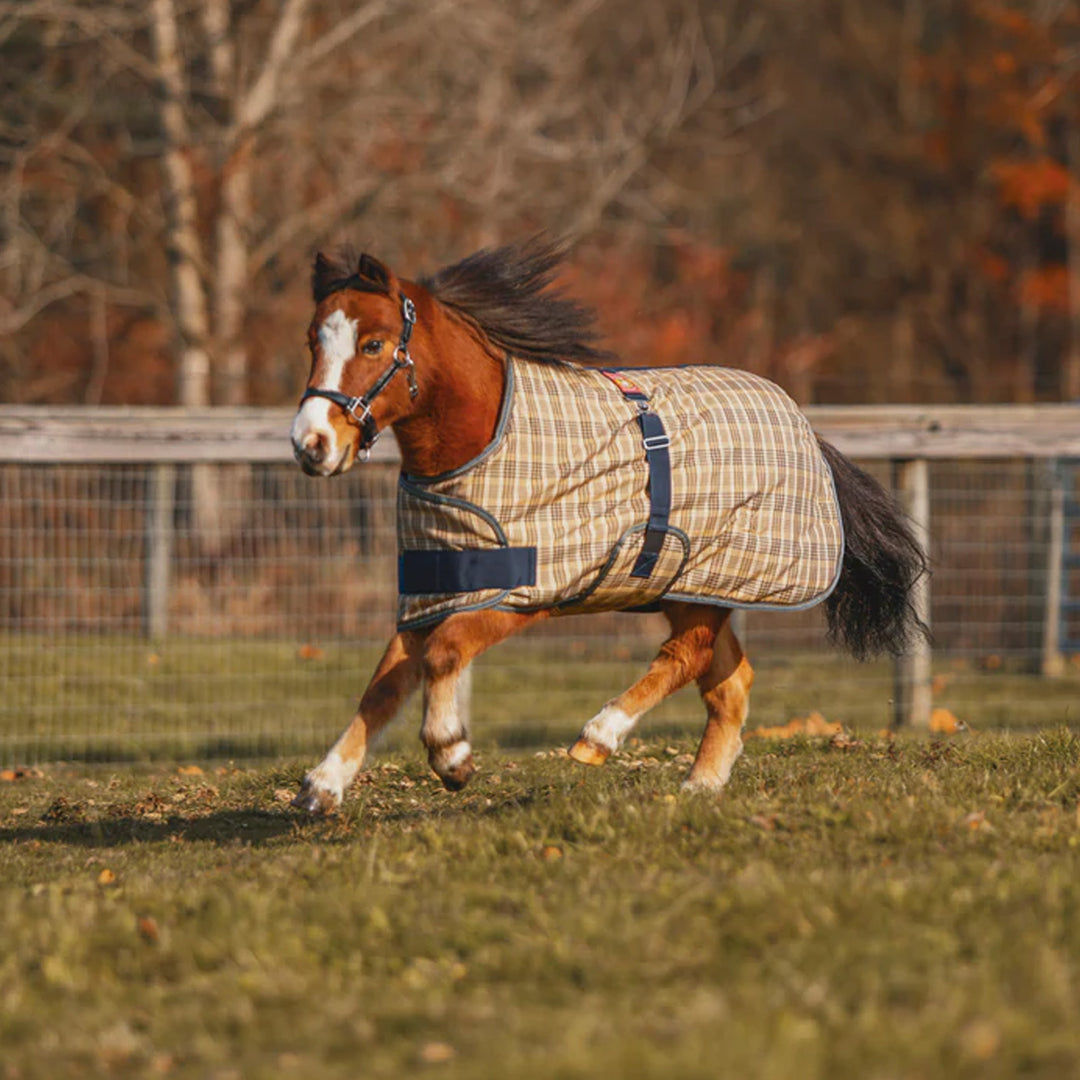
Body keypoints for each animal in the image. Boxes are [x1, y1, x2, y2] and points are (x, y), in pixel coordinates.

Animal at [289, 236, 928, 812]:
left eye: (373, 344)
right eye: (312, 340)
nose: (310, 444)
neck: (479, 444)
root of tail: (805, 429)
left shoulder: (525, 592)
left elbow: (444, 655)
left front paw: (452, 754)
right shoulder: (434, 590)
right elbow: (385, 684)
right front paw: (323, 785)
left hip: (706, 586)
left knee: (686, 657)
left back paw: (599, 736)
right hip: (692, 590)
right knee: (728, 682)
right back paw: (699, 785)